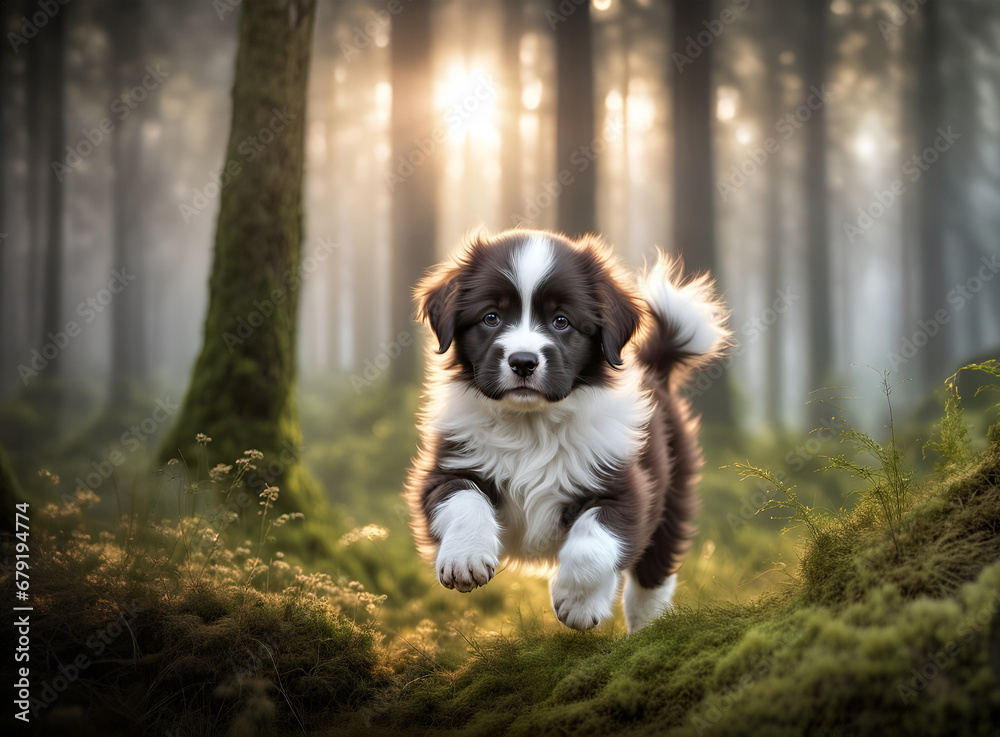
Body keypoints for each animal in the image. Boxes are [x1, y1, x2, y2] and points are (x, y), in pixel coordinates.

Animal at [404, 227, 728, 628]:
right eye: (491, 317)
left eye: (562, 321)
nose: (523, 361)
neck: (531, 424)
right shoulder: (447, 465)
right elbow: (463, 497)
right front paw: (465, 558)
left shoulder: (627, 487)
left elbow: (593, 542)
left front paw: (577, 603)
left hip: (674, 489)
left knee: (653, 574)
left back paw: (649, 626)